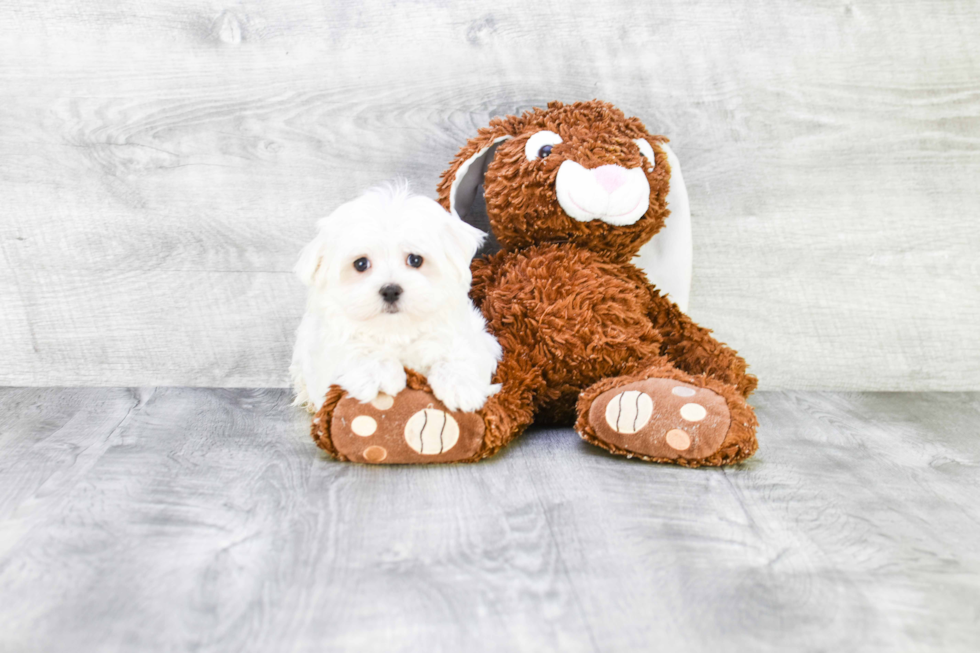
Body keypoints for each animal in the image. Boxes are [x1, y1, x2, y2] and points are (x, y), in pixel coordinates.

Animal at [288, 181, 502, 410]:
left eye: (415, 259)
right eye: (361, 264)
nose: (390, 290)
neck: (397, 331)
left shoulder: (474, 334)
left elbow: (462, 350)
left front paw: (460, 384)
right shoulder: (327, 348)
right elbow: (354, 350)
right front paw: (380, 373)